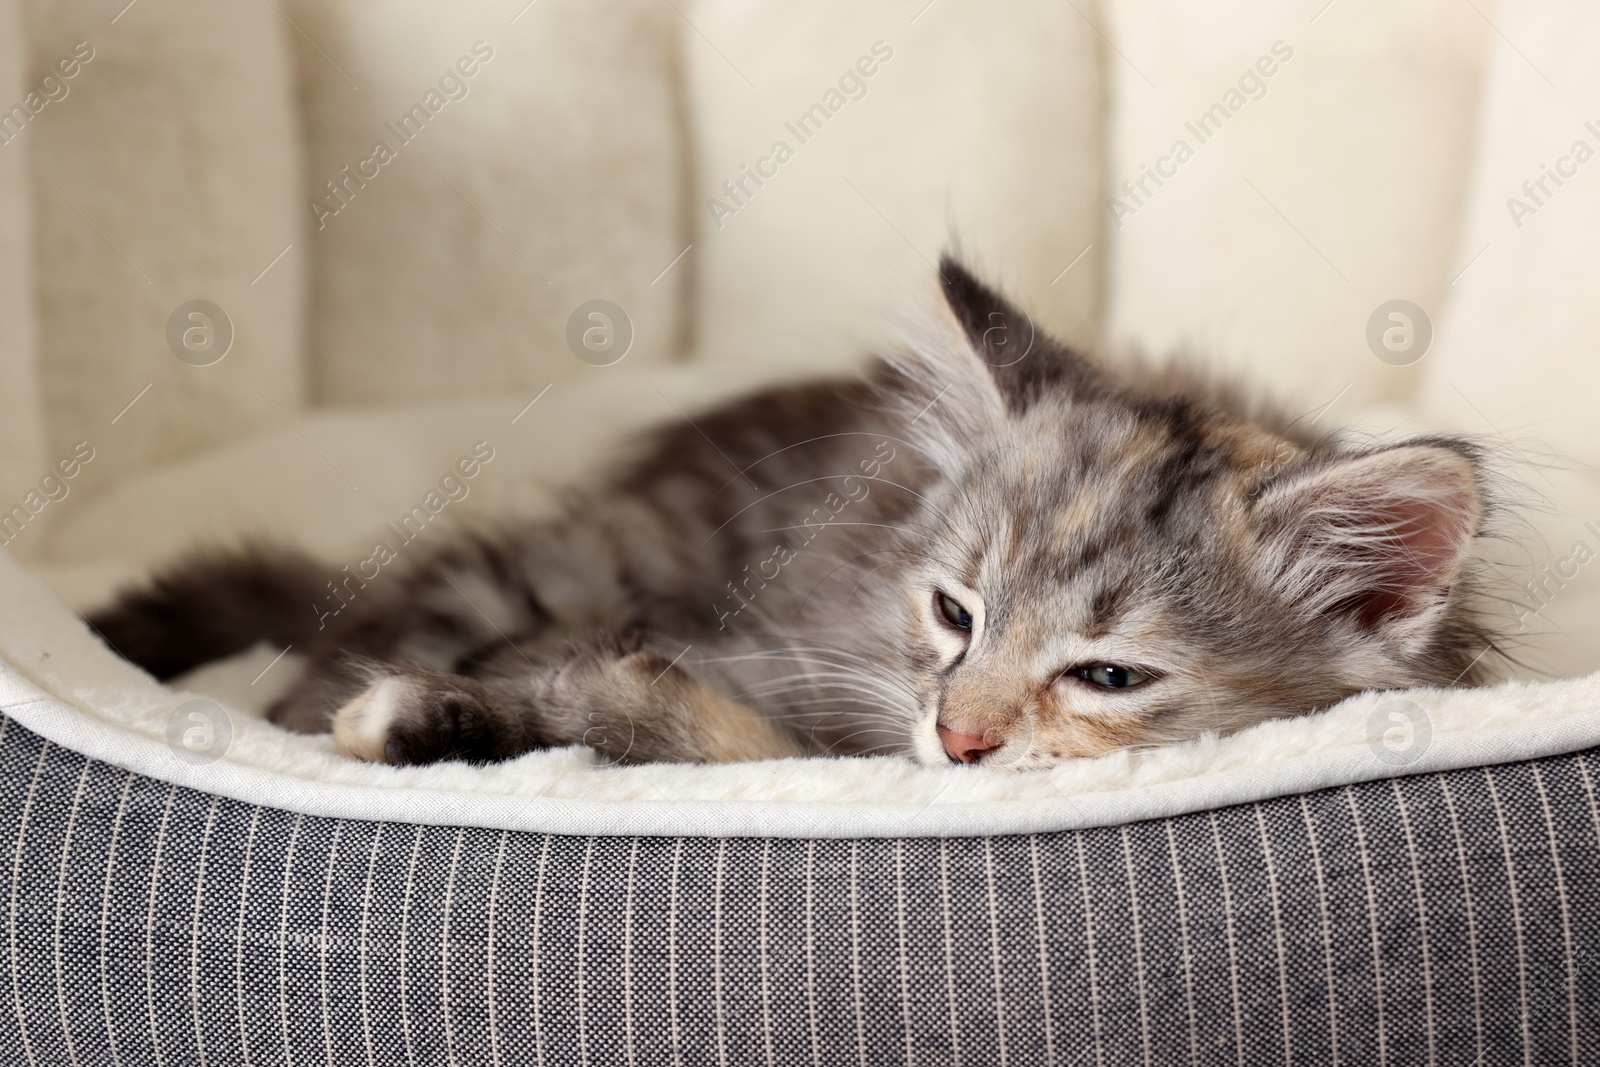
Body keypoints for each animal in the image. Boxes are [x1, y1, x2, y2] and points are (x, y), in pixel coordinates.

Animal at [90, 262, 1497, 771]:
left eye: (1106, 674)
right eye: (952, 612)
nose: (959, 735)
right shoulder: (798, 654)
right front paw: (444, 712)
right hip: (569, 564)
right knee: (329, 656)